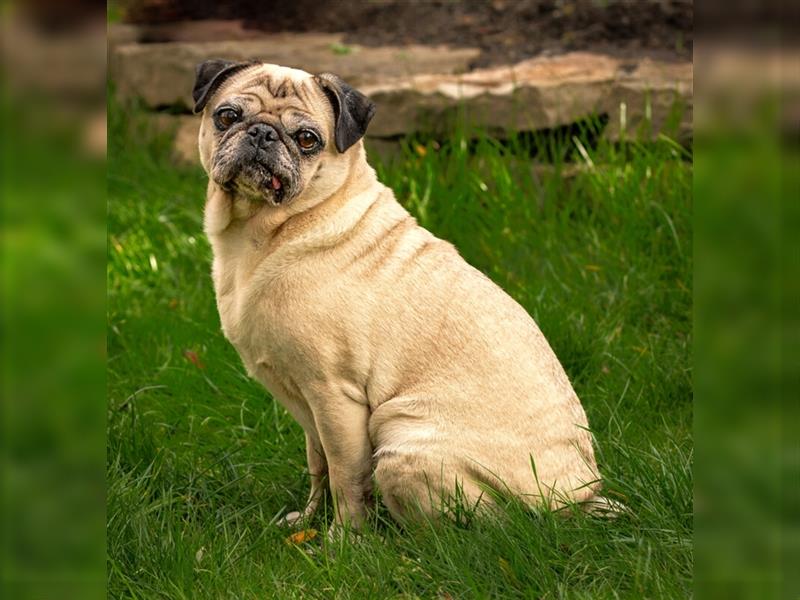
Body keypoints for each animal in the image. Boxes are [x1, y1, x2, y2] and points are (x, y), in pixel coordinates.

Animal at [194, 61, 608, 528]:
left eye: (307, 139)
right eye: (227, 116)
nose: (263, 132)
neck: (268, 230)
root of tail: (576, 498)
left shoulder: (334, 397)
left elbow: (345, 477)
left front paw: (344, 538)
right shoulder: (307, 409)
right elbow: (318, 466)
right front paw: (309, 521)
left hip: (400, 445)